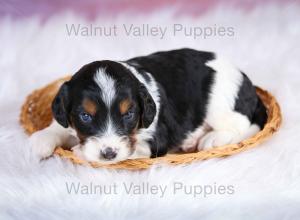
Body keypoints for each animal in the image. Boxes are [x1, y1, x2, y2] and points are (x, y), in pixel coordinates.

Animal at [30, 49, 268, 164]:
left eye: (129, 114)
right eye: (85, 116)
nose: (108, 154)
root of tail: (246, 80)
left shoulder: (157, 139)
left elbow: (134, 149)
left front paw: (80, 152)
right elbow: (61, 126)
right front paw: (40, 140)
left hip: (219, 103)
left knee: (240, 123)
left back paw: (210, 139)